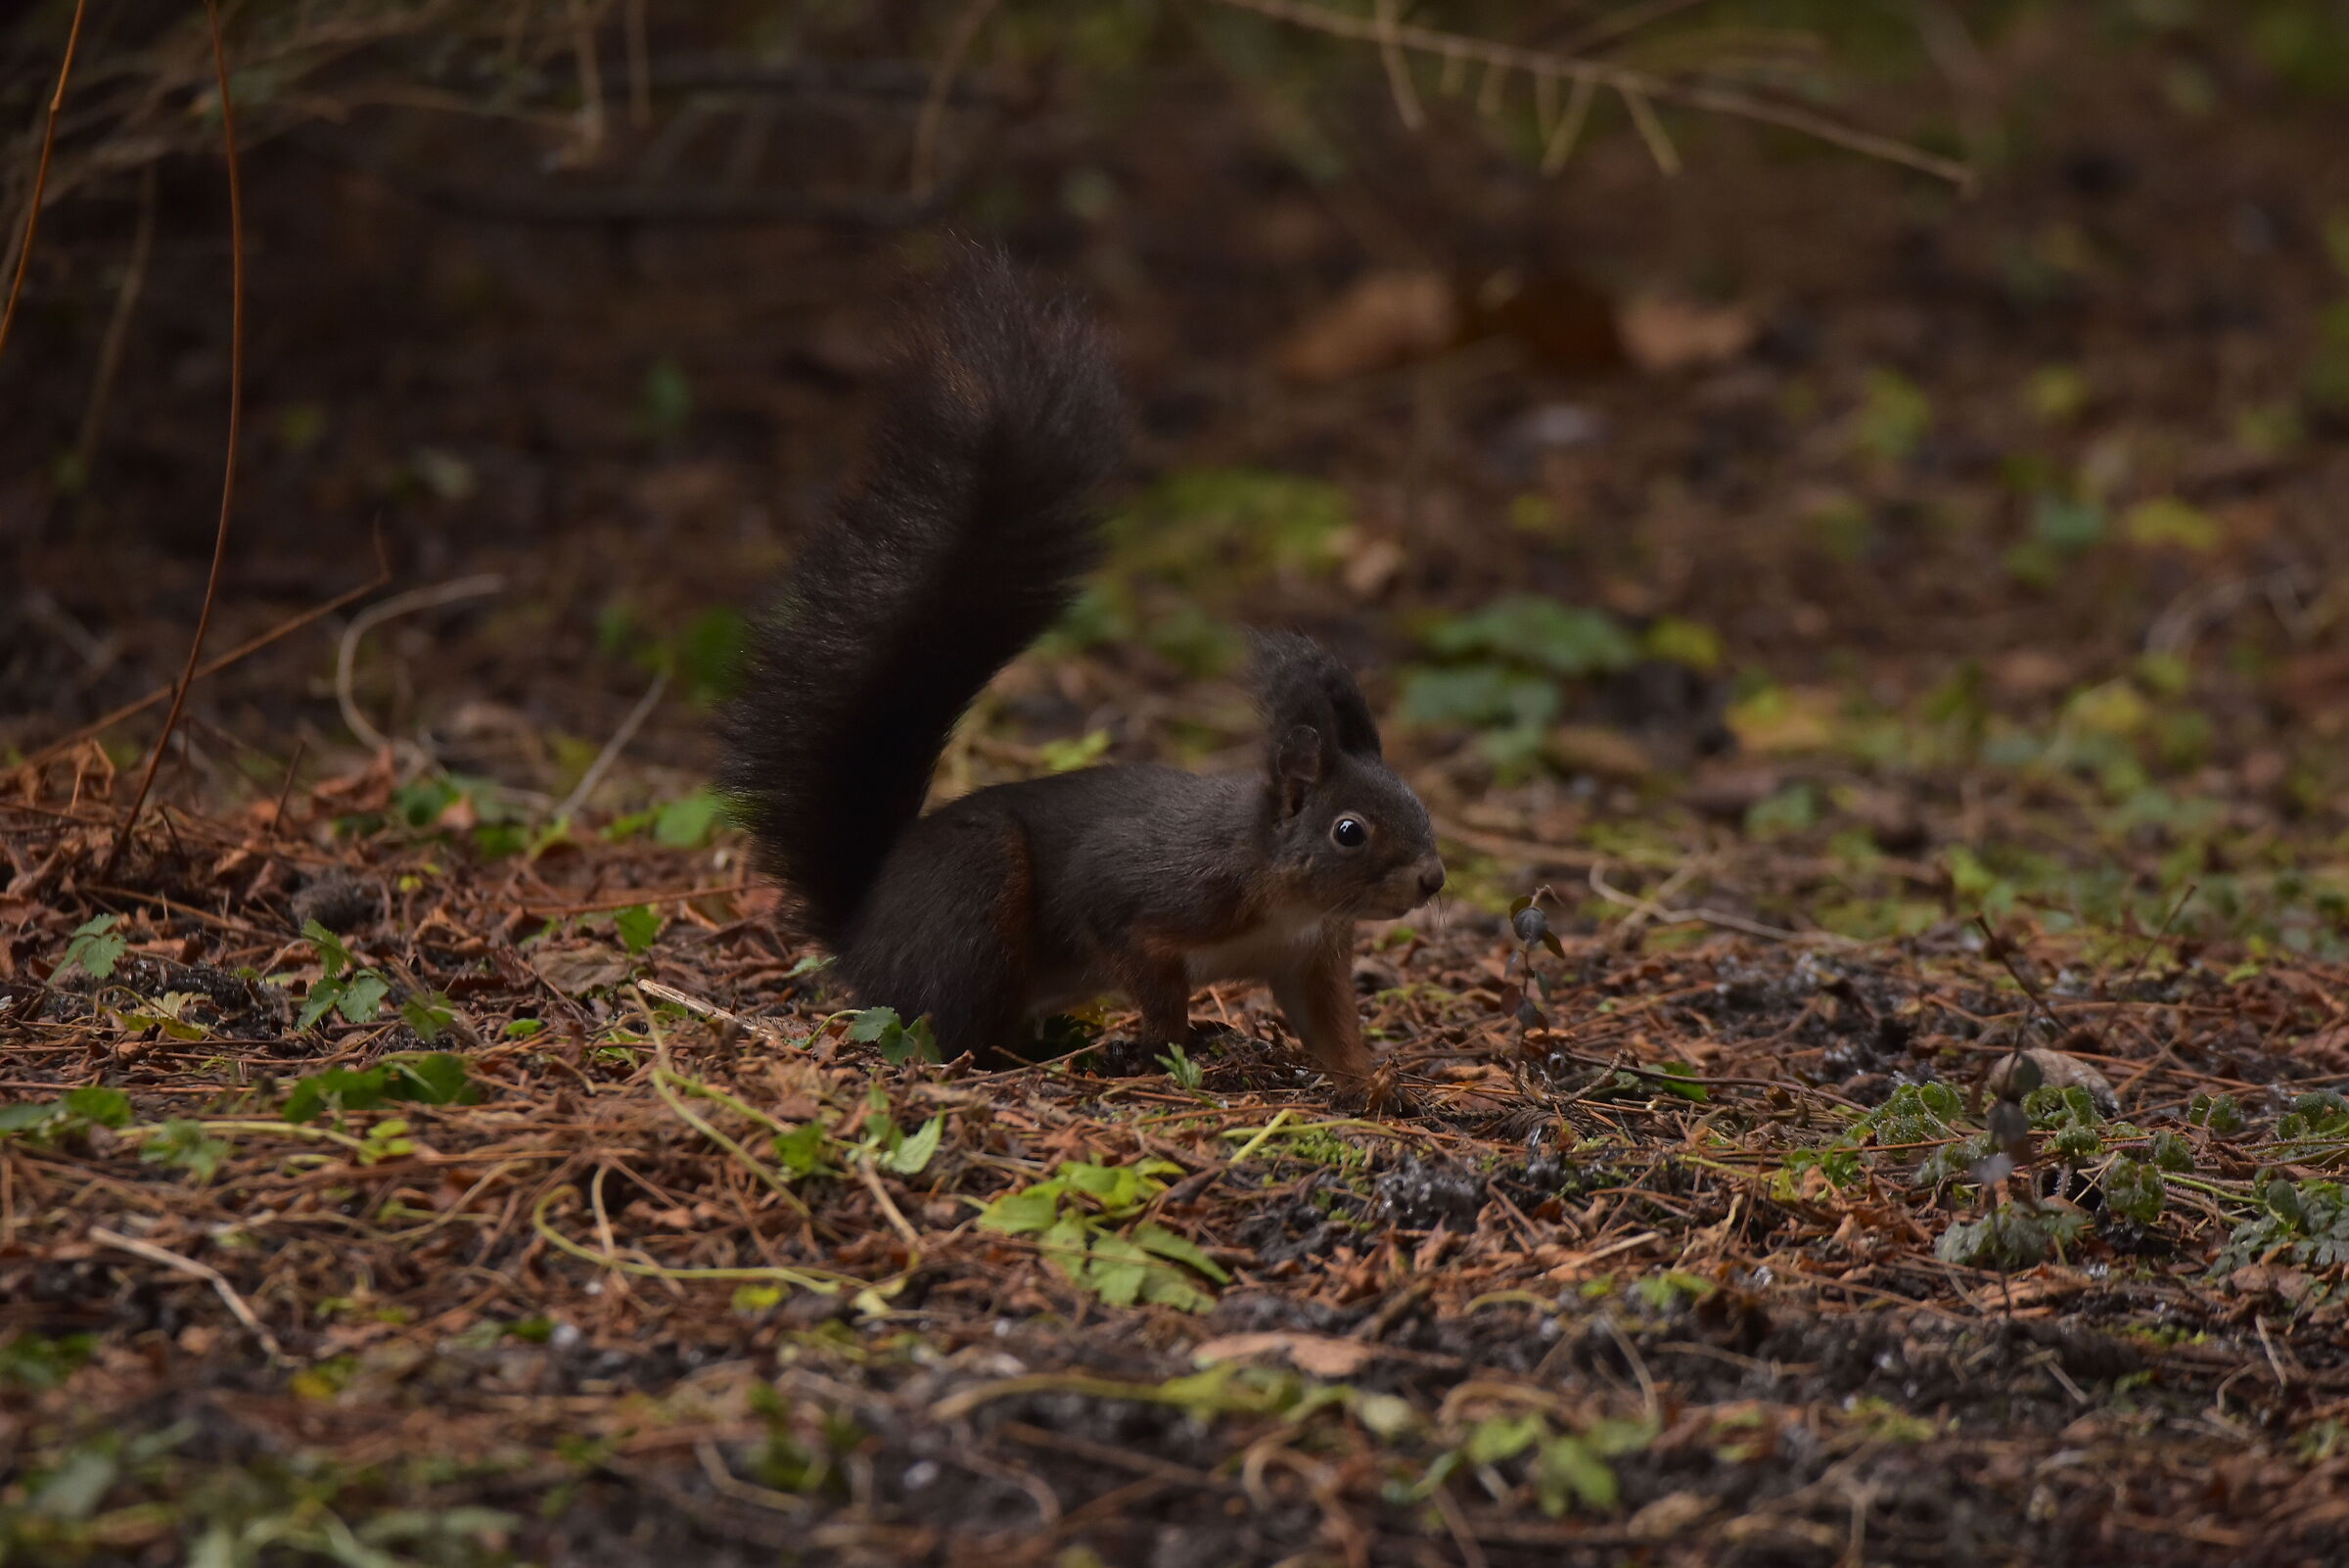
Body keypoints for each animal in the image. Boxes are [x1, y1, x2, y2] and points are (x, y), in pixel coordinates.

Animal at [717, 248, 1444, 1091]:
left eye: (1415, 800)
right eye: (1349, 831)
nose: (1433, 879)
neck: (1278, 883)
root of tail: (861, 928)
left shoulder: (1307, 958)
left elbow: (1330, 1027)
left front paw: (1372, 1083)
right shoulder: (1142, 892)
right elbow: (1145, 967)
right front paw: (1168, 1038)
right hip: (974, 893)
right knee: (946, 1024)